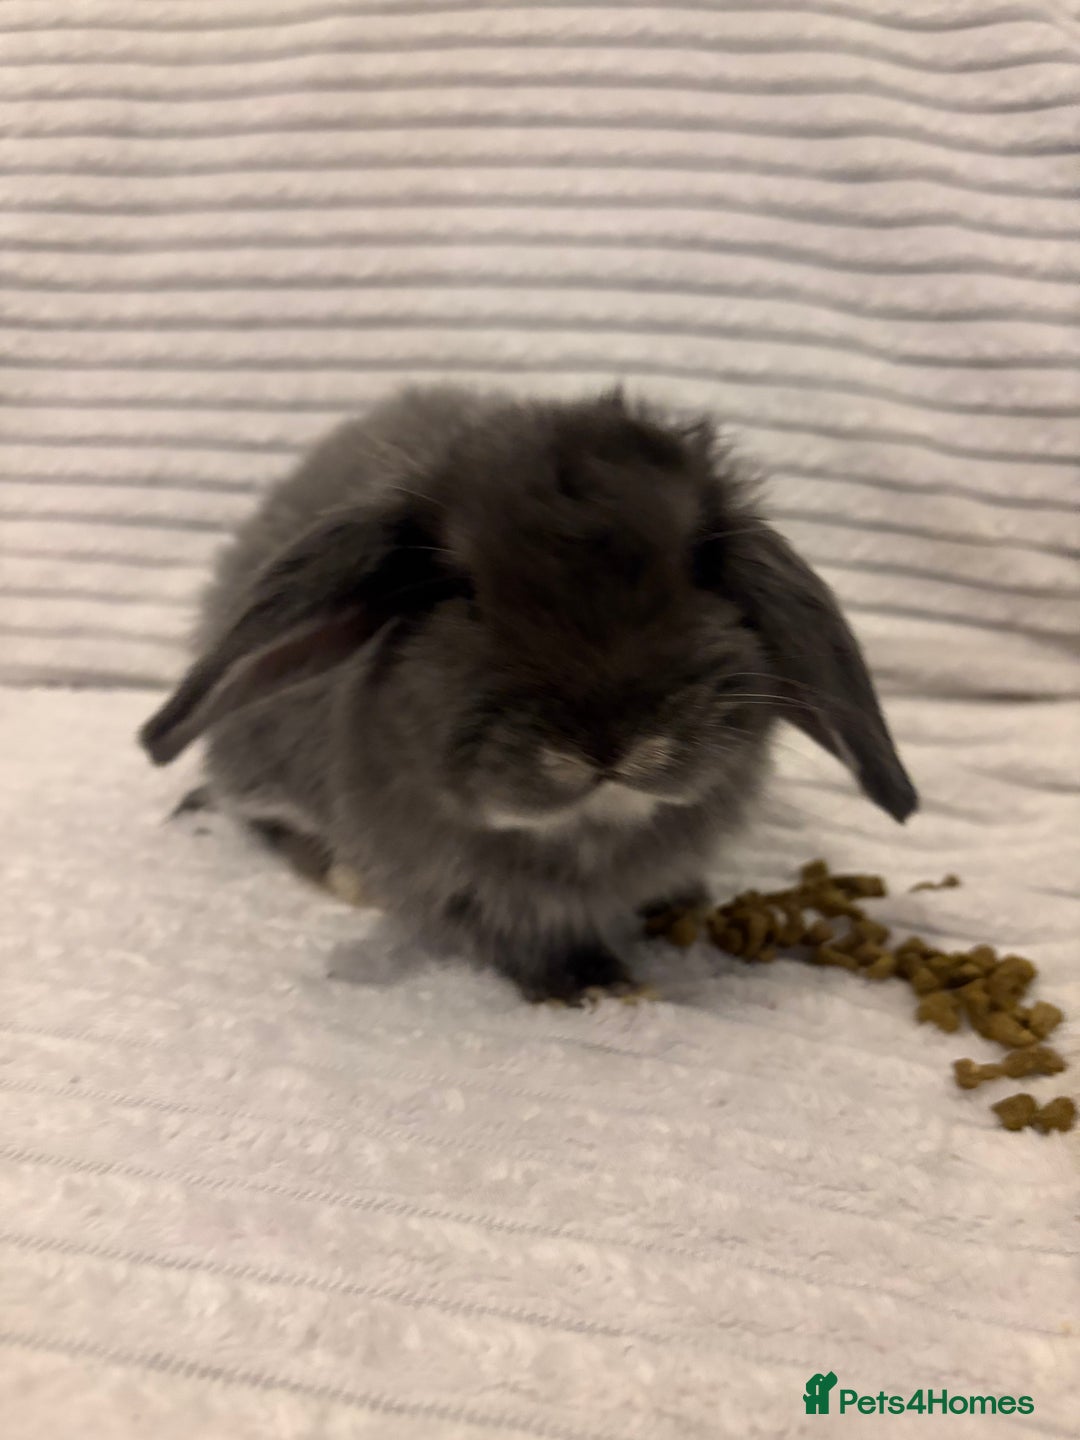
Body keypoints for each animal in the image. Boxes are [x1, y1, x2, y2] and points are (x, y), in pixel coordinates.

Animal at [139, 384, 917, 1003]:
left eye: (701, 565)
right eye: (457, 589)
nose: (607, 740)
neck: (591, 833)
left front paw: (683, 906)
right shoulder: (460, 889)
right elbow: (517, 939)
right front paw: (597, 985)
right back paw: (345, 878)